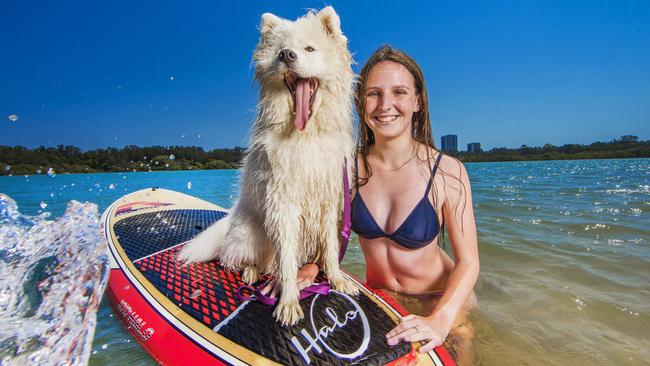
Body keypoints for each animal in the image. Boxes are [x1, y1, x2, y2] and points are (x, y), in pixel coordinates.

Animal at [177, 7, 356, 324]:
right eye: (280, 51)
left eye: (309, 49)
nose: (287, 55)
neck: (306, 134)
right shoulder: (283, 202)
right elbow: (286, 260)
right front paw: (288, 302)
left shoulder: (327, 200)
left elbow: (331, 248)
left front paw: (336, 279)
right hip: (252, 232)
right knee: (238, 259)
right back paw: (250, 272)